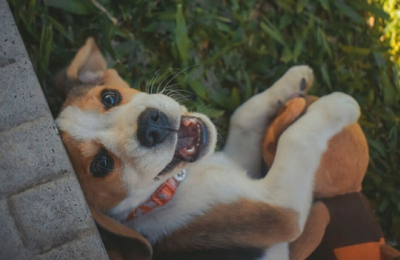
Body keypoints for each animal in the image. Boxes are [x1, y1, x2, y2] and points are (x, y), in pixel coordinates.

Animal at [55, 38, 360, 260]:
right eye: (101, 164)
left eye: (109, 97)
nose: (151, 126)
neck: (169, 190)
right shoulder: (282, 209)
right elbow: (295, 137)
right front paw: (339, 105)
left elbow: (244, 115)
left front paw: (296, 79)